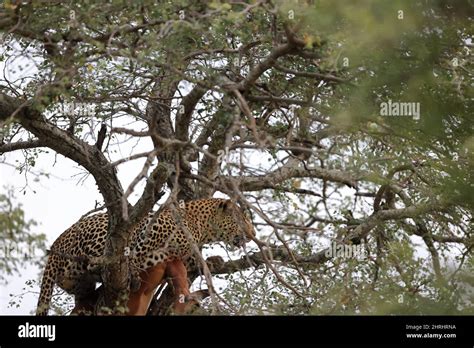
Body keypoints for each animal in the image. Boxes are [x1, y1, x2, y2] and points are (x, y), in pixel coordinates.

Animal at [36, 198, 256, 316]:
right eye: (243, 219)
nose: (253, 234)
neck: (203, 227)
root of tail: (55, 246)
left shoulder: (180, 252)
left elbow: (190, 259)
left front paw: (212, 260)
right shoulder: (152, 228)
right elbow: (138, 251)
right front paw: (133, 271)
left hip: (77, 282)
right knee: (99, 260)